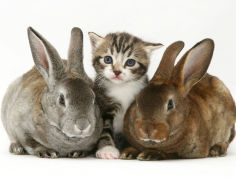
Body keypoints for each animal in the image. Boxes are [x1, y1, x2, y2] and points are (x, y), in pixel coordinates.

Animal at [1, 26, 102, 158]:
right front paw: (47, 152)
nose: (83, 125)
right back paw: (16, 148)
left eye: (93, 98)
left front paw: (78, 153)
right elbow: (30, 143)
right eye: (62, 100)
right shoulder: (19, 126)